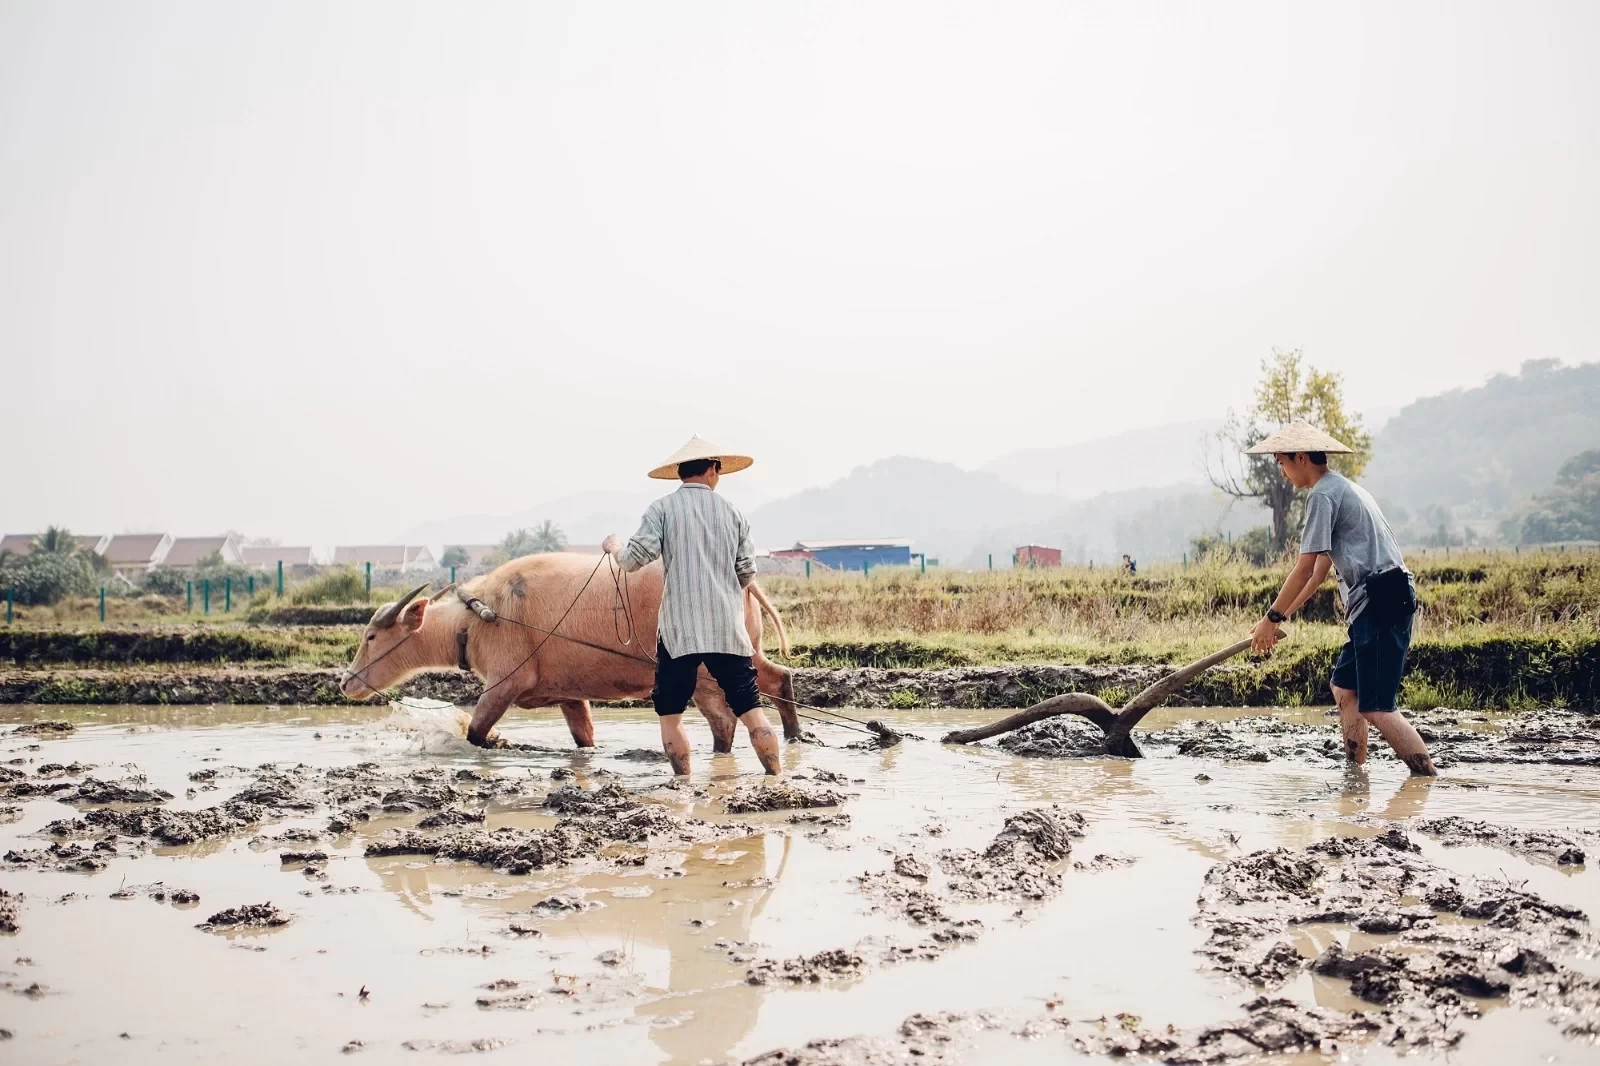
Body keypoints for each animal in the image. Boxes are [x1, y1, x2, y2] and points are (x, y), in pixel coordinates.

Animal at [339, 550, 800, 742]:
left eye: (371, 636)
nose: (346, 683)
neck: (478, 618)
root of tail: (744, 580)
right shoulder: (568, 696)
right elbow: (584, 738)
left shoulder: (504, 684)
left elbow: (475, 733)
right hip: (747, 653)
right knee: (779, 678)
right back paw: (794, 737)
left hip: (703, 671)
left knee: (724, 721)